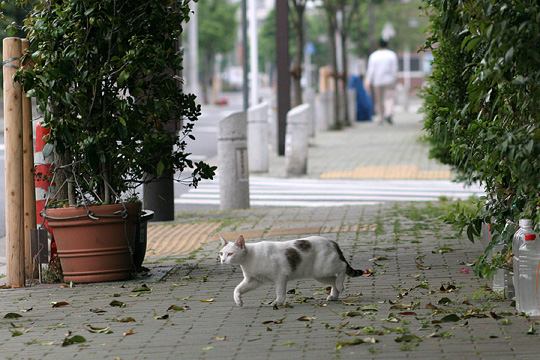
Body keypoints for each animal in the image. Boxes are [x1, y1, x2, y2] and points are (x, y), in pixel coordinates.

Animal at [217, 235, 364, 308]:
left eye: (230, 254)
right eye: (221, 253)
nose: (223, 260)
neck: (249, 259)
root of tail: (331, 241)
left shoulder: (280, 277)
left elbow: (280, 292)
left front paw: (278, 303)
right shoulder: (253, 281)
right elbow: (237, 289)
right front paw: (238, 301)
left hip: (324, 268)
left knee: (342, 268)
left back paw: (340, 286)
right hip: (319, 274)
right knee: (333, 280)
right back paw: (334, 295)